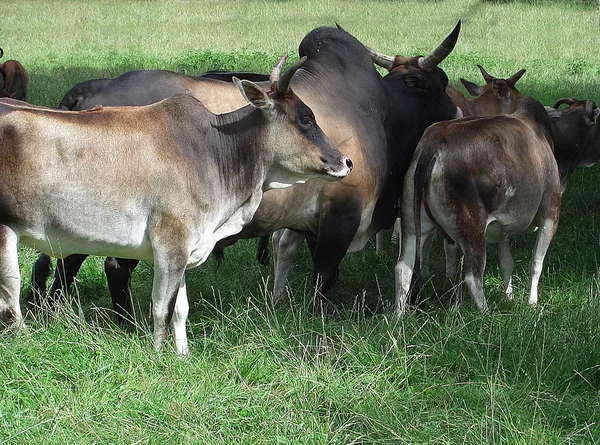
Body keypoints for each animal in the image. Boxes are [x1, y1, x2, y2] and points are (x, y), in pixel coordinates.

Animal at [0, 58, 354, 354]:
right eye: (306, 119)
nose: (346, 162)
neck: (215, 151)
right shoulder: (170, 243)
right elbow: (162, 308)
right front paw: (159, 354)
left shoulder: (187, 246)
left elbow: (181, 310)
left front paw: (182, 353)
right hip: (6, 231)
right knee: (11, 298)